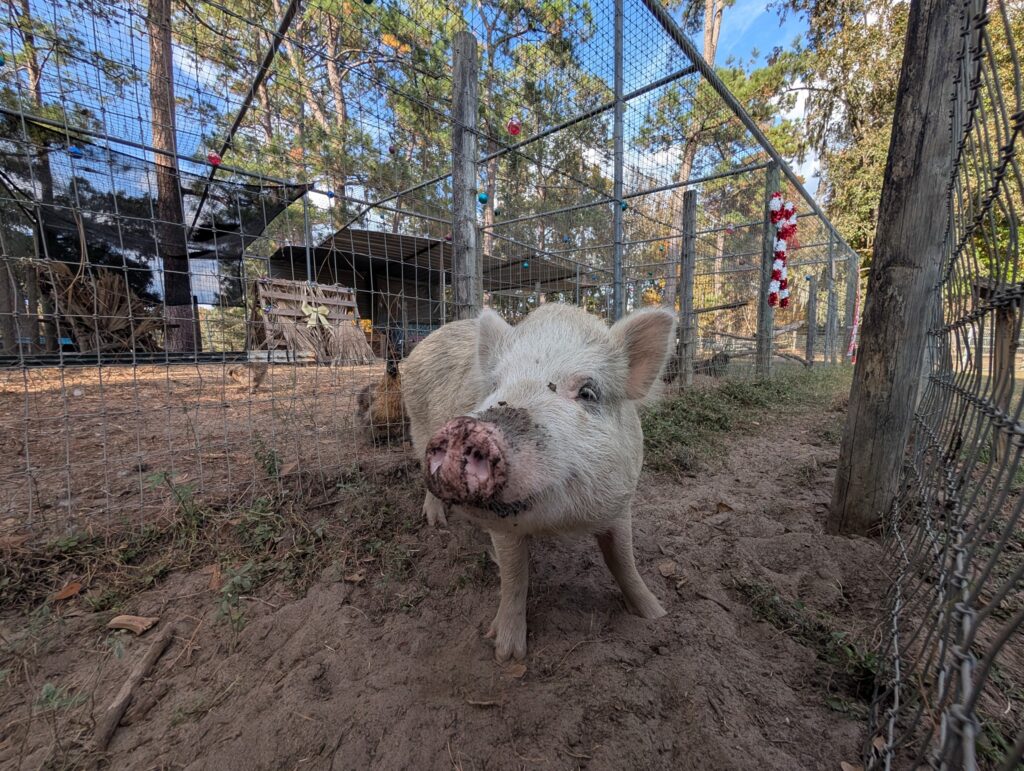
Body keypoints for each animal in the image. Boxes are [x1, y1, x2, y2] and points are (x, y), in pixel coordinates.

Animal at [401, 303, 675, 661]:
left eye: (588, 392)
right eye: (494, 385)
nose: (469, 430)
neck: (561, 522)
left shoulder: (621, 500)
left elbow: (623, 560)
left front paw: (657, 615)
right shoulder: (502, 526)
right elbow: (515, 576)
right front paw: (507, 653)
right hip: (417, 427)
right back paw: (436, 523)